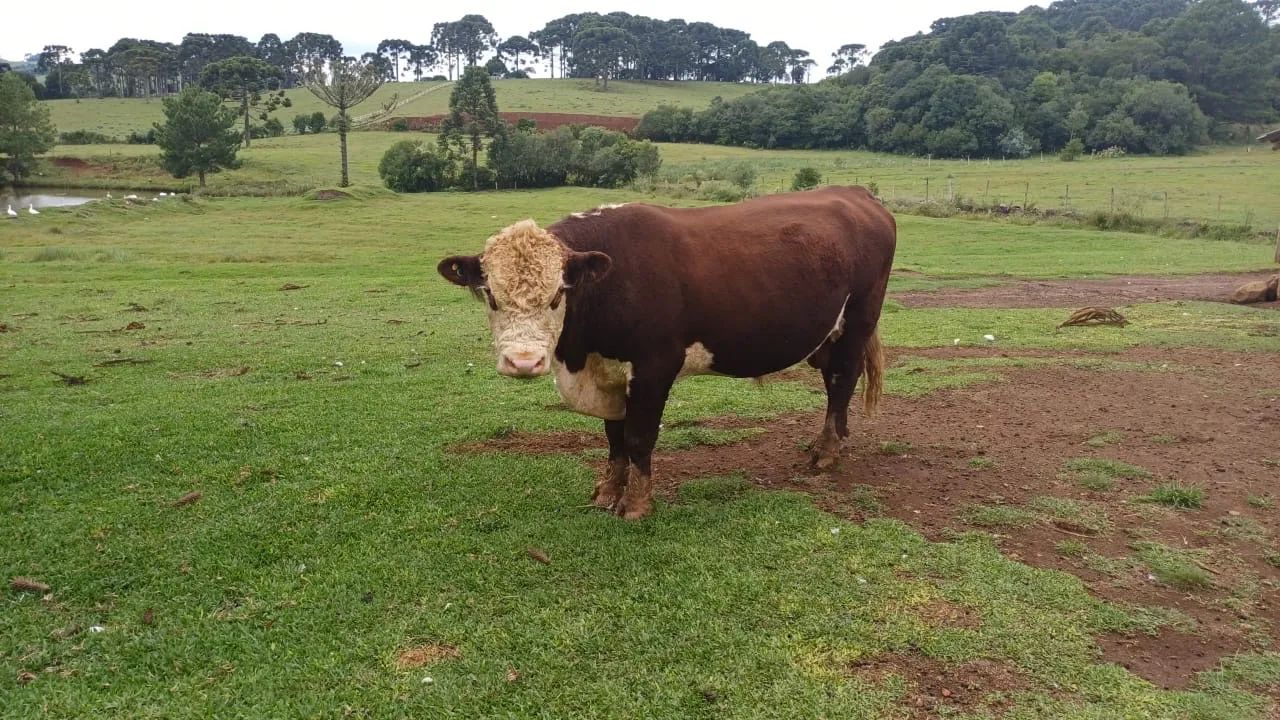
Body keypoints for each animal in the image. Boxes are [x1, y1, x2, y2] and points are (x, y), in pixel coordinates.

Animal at [438, 186, 897, 520]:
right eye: (490, 295)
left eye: (557, 295)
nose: (523, 362)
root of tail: (856, 193)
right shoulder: (610, 372)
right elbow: (614, 438)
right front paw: (608, 491)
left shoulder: (655, 366)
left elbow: (639, 437)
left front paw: (637, 504)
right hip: (828, 334)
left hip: (859, 320)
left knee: (842, 381)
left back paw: (827, 452)